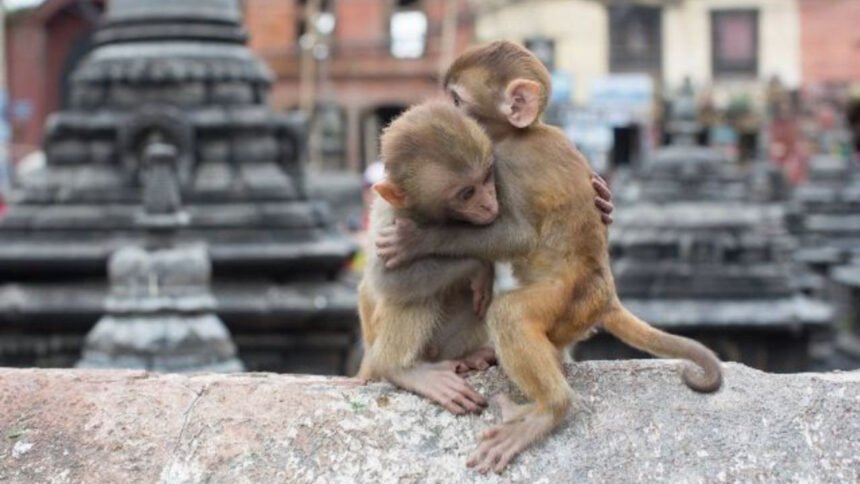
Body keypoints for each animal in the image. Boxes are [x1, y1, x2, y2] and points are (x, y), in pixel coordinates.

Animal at [376, 41, 723, 473]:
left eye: (457, 100)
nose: (446, 110)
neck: (521, 132)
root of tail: (605, 297)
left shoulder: (507, 166)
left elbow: (516, 235)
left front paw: (418, 239)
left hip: (567, 301)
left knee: (511, 315)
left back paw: (549, 410)